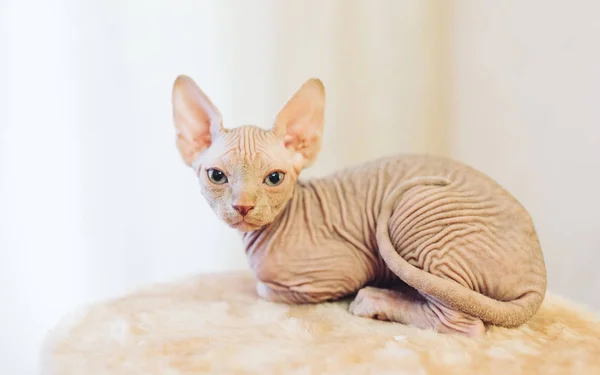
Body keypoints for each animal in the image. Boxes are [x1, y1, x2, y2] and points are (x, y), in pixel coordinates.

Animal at [170, 75, 548, 338]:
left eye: (274, 178)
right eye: (217, 176)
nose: (243, 206)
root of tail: (539, 276)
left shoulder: (336, 273)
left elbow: (265, 289)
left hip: (412, 207)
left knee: (463, 323)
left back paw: (377, 301)